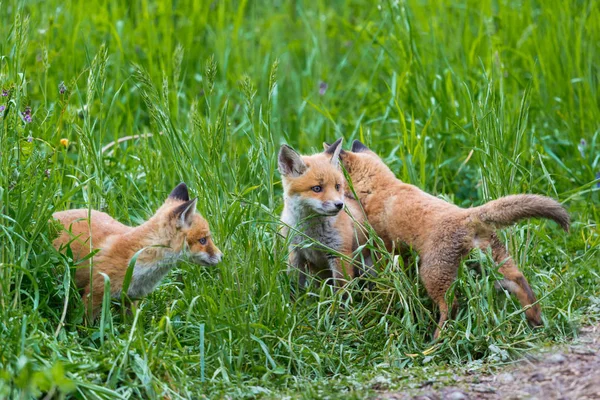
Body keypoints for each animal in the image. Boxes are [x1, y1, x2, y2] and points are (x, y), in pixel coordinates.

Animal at [280, 139, 372, 290]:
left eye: (337, 186)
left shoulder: (339, 254)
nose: (339, 204)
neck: (311, 234)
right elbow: (295, 286)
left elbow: (341, 290)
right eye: (317, 188)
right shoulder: (295, 251)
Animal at [330, 139, 568, 340]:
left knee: (451, 306)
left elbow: (384, 268)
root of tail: (468, 215)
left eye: (338, 184)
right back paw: (535, 318)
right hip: (493, 266)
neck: (384, 188)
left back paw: (436, 339)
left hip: (433, 275)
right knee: (519, 281)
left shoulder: (386, 244)